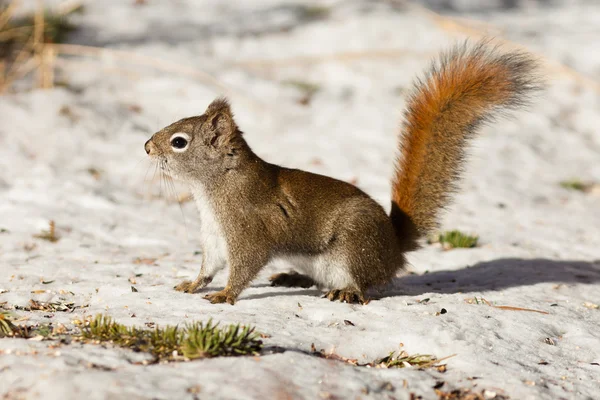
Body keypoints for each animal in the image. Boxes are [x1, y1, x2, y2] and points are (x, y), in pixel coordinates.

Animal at [144, 39, 540, 304]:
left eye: (179, 141)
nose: (147, 147)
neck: (213, 189)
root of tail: (393, 249)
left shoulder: (248, 229)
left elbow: (245, 264)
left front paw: (225, 294)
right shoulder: (214, 235)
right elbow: (209, 264)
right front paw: (193, 284)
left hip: (354, 245)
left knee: (364, 285)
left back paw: (346, 292)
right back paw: (291, 277)